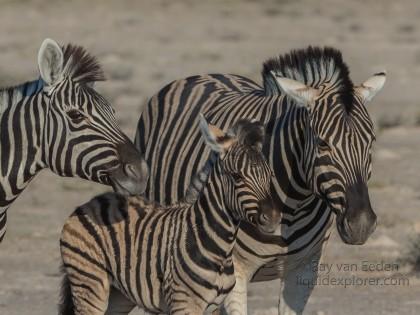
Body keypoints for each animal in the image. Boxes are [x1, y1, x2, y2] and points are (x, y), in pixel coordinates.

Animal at [59, 117, 282, 314]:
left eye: (270, 174)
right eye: (236, 177)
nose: (273, 218)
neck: (216, 245)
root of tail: (91, 202)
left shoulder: (212, 307)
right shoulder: (185, 304)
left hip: (118, 294)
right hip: (90, 282)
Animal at [135, 47, 388, 315]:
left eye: (371, 142)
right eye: (322, 143)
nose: (361, 225)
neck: (293, 205)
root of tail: (205, 74)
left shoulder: (304, 270)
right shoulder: (235, 271)